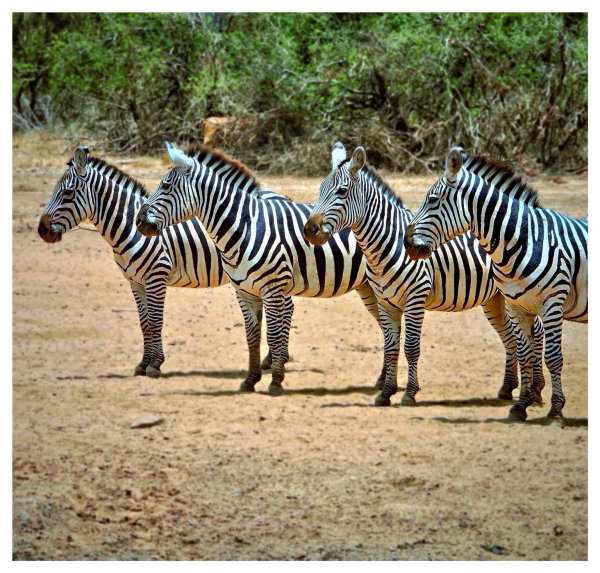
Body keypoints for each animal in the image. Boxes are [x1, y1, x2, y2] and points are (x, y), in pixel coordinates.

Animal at [37, 146, 326, 380]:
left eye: (67, 192)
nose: (41, 230)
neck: (128, 230)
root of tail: (283, 197)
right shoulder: (135, 282)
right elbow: (144, 323)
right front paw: (142, 364)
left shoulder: (156, 276)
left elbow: (155, 321)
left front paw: (155, 365)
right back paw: (271, 360)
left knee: (287, 308)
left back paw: (278, 360)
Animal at [135, 141, 384, 396]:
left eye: (165, 186)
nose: (139, 221)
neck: (247, 228)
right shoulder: (244, 291)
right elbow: (252, 337)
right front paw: (250, 380)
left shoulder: (272, 289)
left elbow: (273, 335)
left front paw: (275, 381)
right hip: (369, 288)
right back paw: (381, 382)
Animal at [302, 145, 548, 408]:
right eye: (320, 189)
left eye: (342, 191)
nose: (310, 230)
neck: (385, 245)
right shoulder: (385, 302)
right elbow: (391, 347)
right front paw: (386, 392)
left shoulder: (415, 298)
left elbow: (410, 347)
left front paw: (409, 393)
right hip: (496, 299)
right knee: (510, 337)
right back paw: (507, 388)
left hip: (522, 297)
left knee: (536, 332)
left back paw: (536, 391)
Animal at [404, 145, 584, 418]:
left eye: (433, 200)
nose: (407, 244)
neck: (524, 241)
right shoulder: (516, 304)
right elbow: (525, 352)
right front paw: (521, 405)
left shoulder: (553, 302)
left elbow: (553, 356)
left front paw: (555, 408)